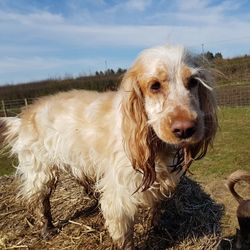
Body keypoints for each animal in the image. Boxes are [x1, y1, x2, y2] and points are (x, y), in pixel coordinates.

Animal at [0, 45, 218, 250]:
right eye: (154, 86)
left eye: (193, 82)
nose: (186, 129)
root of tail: (22, 118)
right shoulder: (119, 198)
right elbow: (124, 237)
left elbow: (155, 209)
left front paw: (156, 227)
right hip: (41, 171)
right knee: (40, 201)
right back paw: (47, 228)